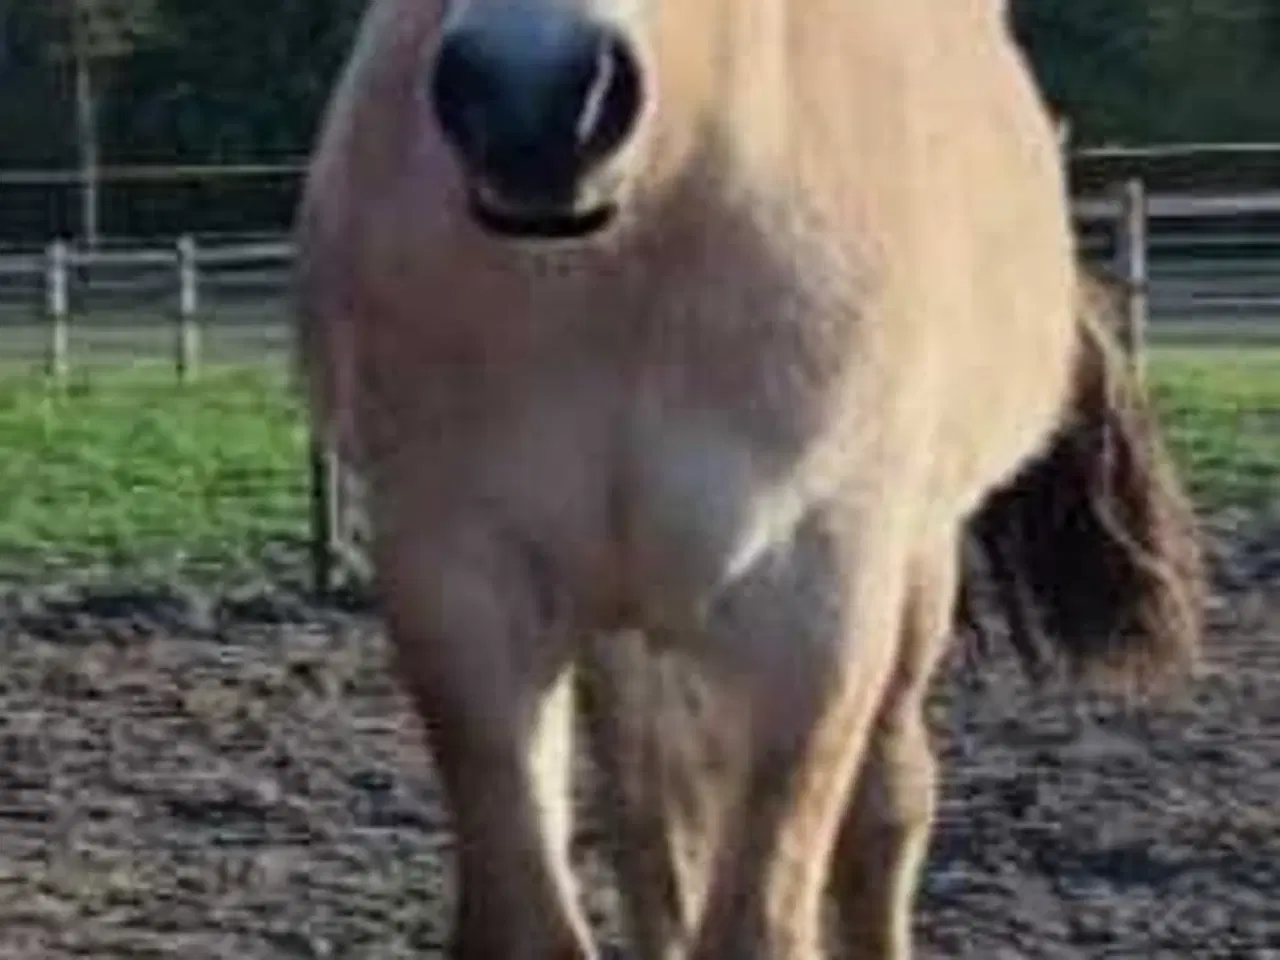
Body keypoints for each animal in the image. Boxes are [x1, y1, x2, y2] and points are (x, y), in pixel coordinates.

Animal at [293, 2, 1204, 957]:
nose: (532, 104)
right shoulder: (457, 578)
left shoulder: (815, 602)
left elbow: (763, 917)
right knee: (654, 815)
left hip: (913, 567)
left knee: (886, 809)